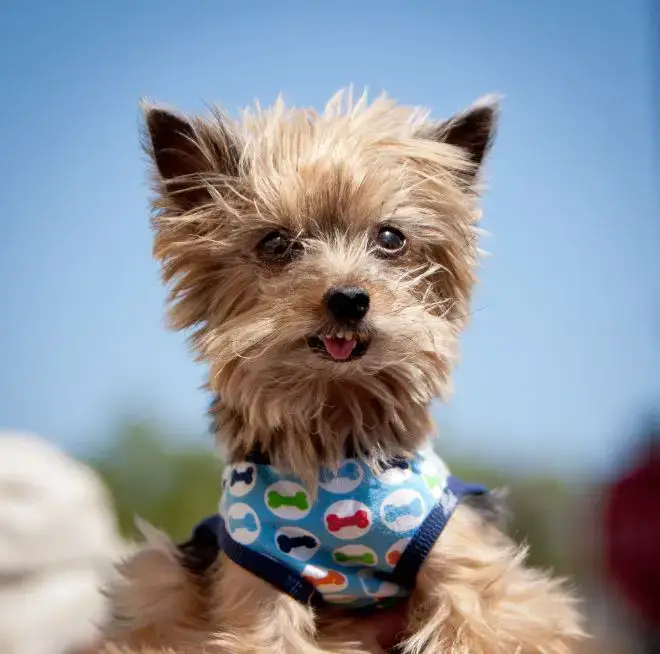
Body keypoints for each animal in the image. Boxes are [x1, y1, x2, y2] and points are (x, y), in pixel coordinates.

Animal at [103, 88, 588, 654]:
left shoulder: (463, 553)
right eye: (275, 244)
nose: (350, 299)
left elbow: (484, 621)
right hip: (159, 575)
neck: (337, 420)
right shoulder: (255, 573)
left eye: (391, 238)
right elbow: (265, 635)